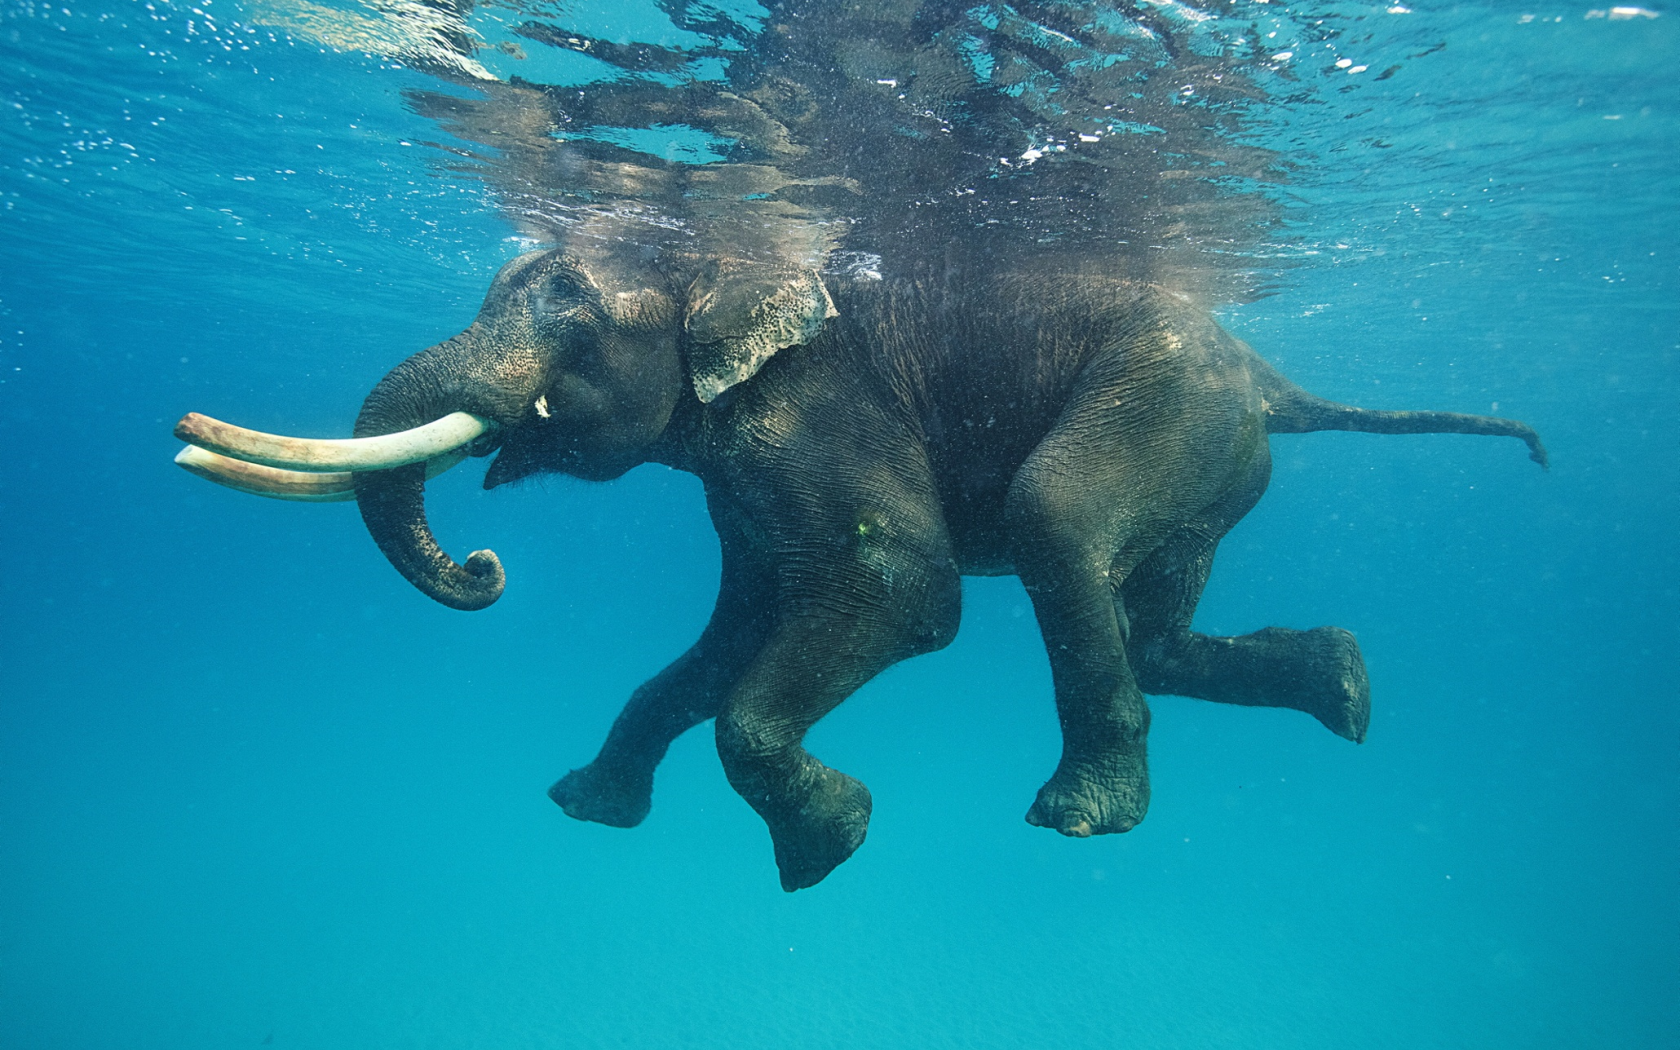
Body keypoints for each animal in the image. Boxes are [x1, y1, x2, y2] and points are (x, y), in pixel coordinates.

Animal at [174, 247, 1546, 891]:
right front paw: (584, 807)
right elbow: (727, 637)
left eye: (569, 311)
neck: (719, 263)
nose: (481, 563)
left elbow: (903, 595)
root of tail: (1274, 377)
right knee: (1149, 624)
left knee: (1057, 523)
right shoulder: (739, 476)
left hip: (1169, 407)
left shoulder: (821, 411)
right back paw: (1348, 687)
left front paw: (826, 847)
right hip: (1210, 457)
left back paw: (1081, 816)